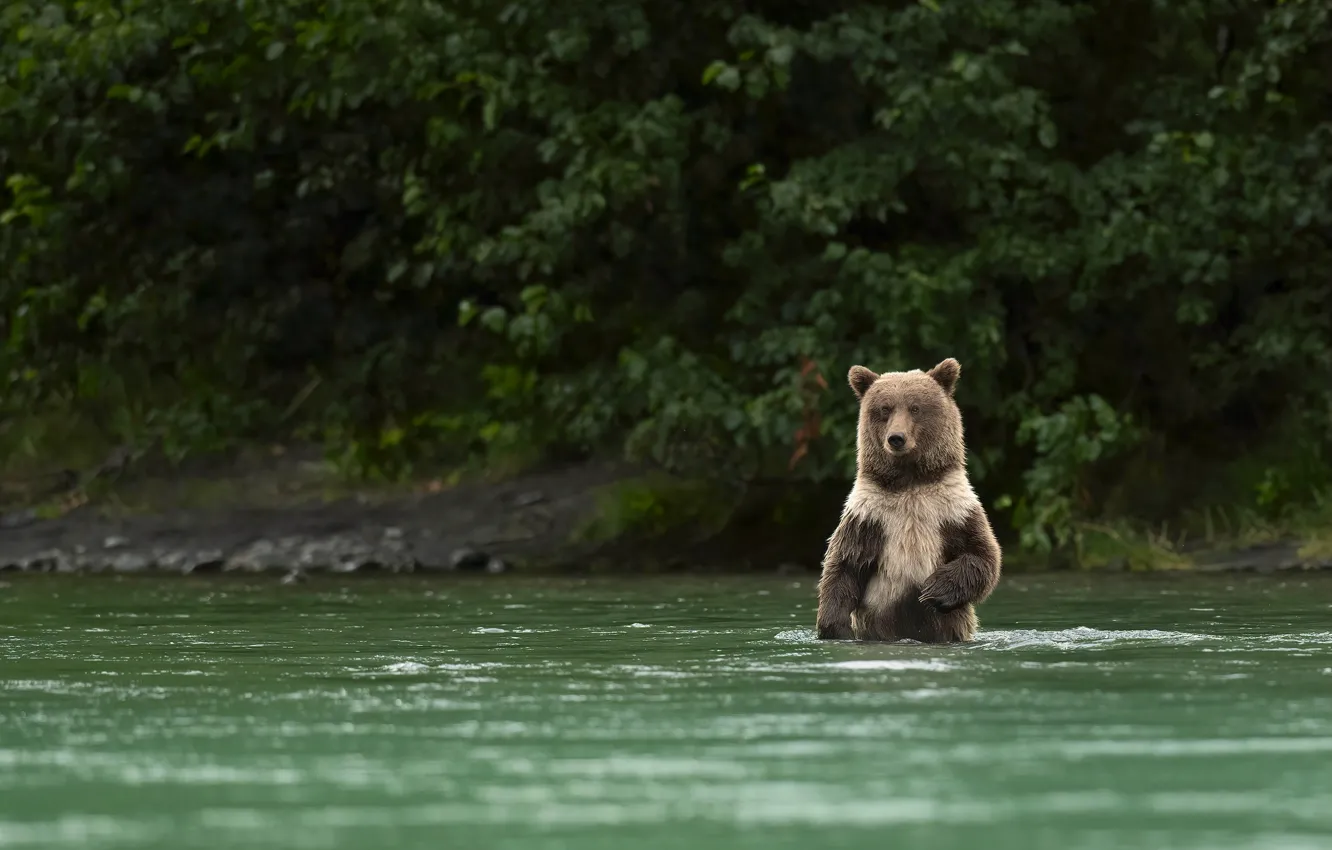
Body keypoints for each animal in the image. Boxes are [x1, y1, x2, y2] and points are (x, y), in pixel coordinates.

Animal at [815, 357, 1001, 643]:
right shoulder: (869, 514)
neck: (910, 482)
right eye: (885, 409)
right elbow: (844, 564)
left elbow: (982, 554)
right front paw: (834, 627)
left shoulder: (953, 508)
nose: (896, 438)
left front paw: (933, 589)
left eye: (915, 408)